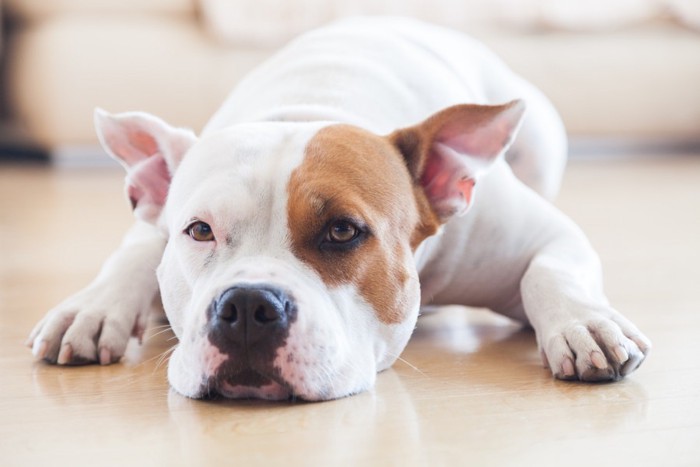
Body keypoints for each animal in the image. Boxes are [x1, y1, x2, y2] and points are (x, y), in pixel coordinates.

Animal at [26, 16, 652, 400]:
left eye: (344, 231)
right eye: (199, 231)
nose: (247, 305)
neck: (309, 104)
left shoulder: (540, 236)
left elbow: (550, 271)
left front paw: (583, 324)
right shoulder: (152, 227)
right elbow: (132, 253)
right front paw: (92, 308)